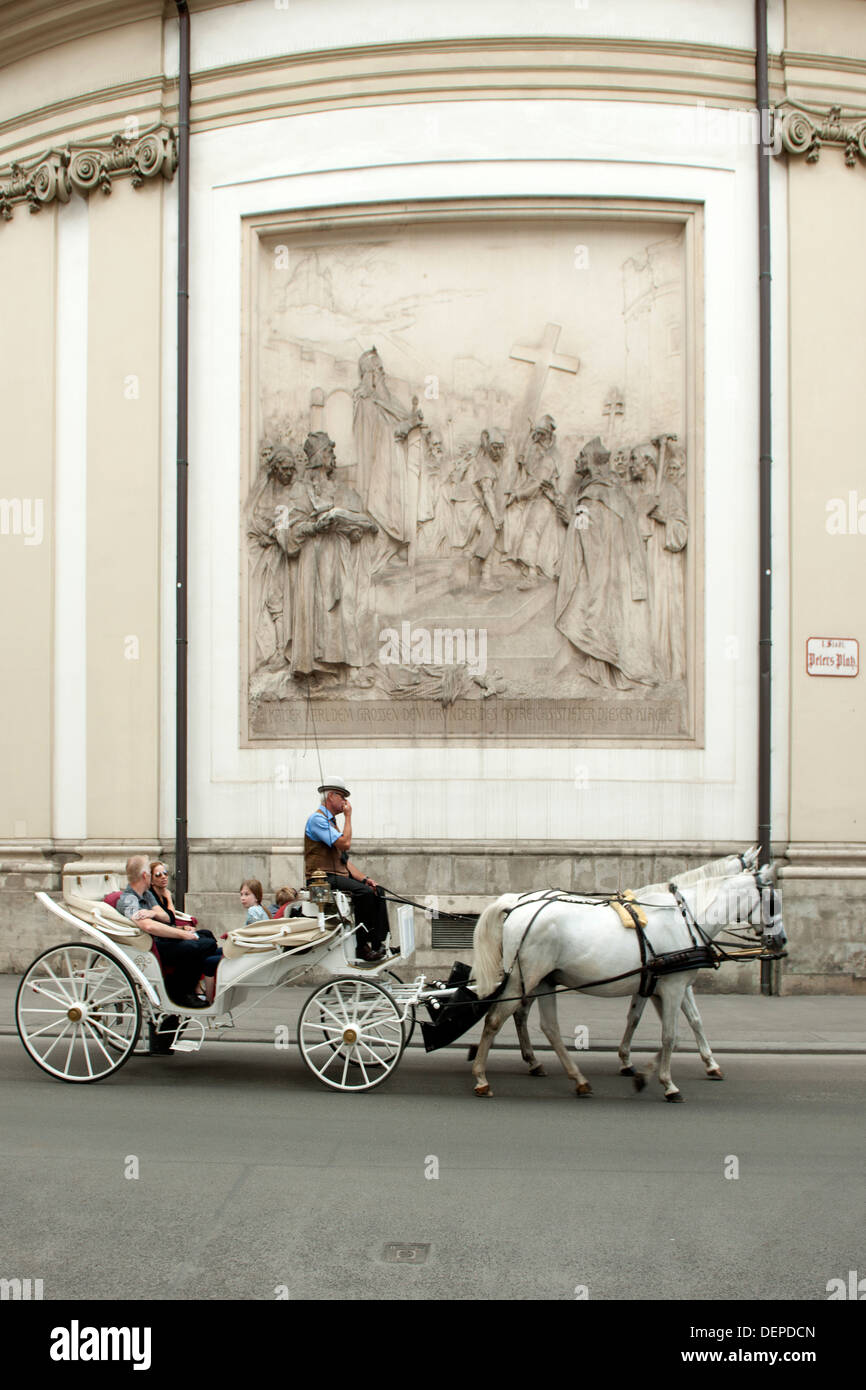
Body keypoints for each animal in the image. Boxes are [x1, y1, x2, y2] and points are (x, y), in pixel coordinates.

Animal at [469, 850, 789, 1100]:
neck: (685, 917)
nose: (782, 940)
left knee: (546, 1026)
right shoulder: (674, 986)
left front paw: (642, 1066)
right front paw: (667, 1083)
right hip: (527, 977)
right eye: (773, 901)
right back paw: (482, 1077)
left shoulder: (660, 985)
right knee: (497, 1019)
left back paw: (572, 1076)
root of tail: (516, 905)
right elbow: (671, 1034)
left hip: (545, 978)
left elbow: (671, 1024)